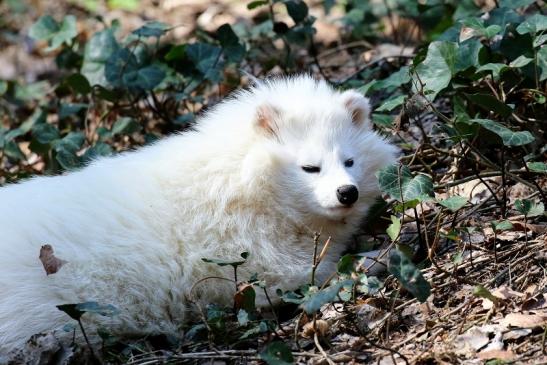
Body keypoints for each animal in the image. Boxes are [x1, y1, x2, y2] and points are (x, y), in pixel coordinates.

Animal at [0, 74, 398, 352]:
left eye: (349, 160)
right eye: (310, 167)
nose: (347, 192)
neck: (241, 181)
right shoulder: (257, 269)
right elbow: (324, 273)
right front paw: (378, 256)